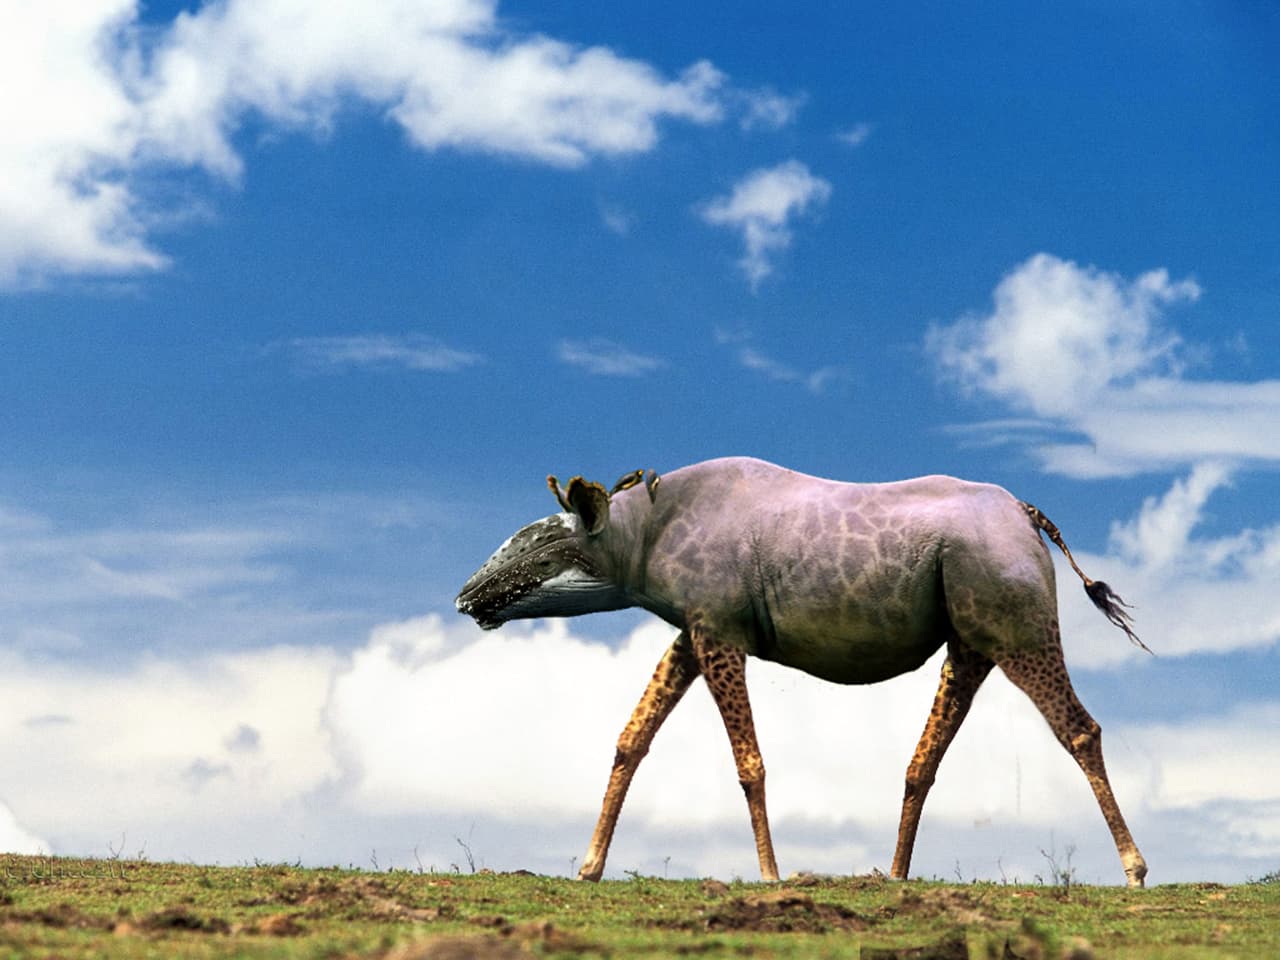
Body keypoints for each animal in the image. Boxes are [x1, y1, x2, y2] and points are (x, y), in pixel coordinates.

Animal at [455, 457, 1148, 887]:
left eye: (545, 544)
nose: (469, 595)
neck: (647, 534)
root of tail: (1028, 514)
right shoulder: (693, 633)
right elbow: (632, 739)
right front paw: (589, 868)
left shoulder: (720, 632)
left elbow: (748, 763)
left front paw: (769, 874)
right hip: (971, 643)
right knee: (926, 758)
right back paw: (894, 874)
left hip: (1019, 629)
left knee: (1079, 729)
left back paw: (1135, 868)